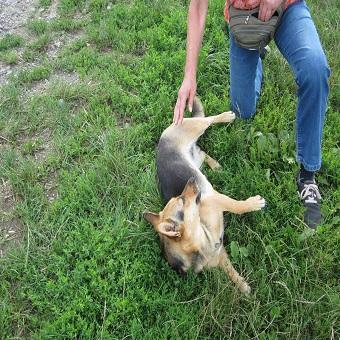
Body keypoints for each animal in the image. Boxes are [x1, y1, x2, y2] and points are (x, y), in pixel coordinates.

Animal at [143, 97, 266, 294]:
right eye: (181, 199)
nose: (191, 180)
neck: (202, 240)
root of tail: (163, 136)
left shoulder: (216, 199)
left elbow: (237, 206)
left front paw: (253, 204)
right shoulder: (219, 253)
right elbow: (230, 271)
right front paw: (243, 286)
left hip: (197, 126)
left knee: (207, 119)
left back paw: (226, 116)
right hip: (196, 156)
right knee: (201, 150)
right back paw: (216, 166)